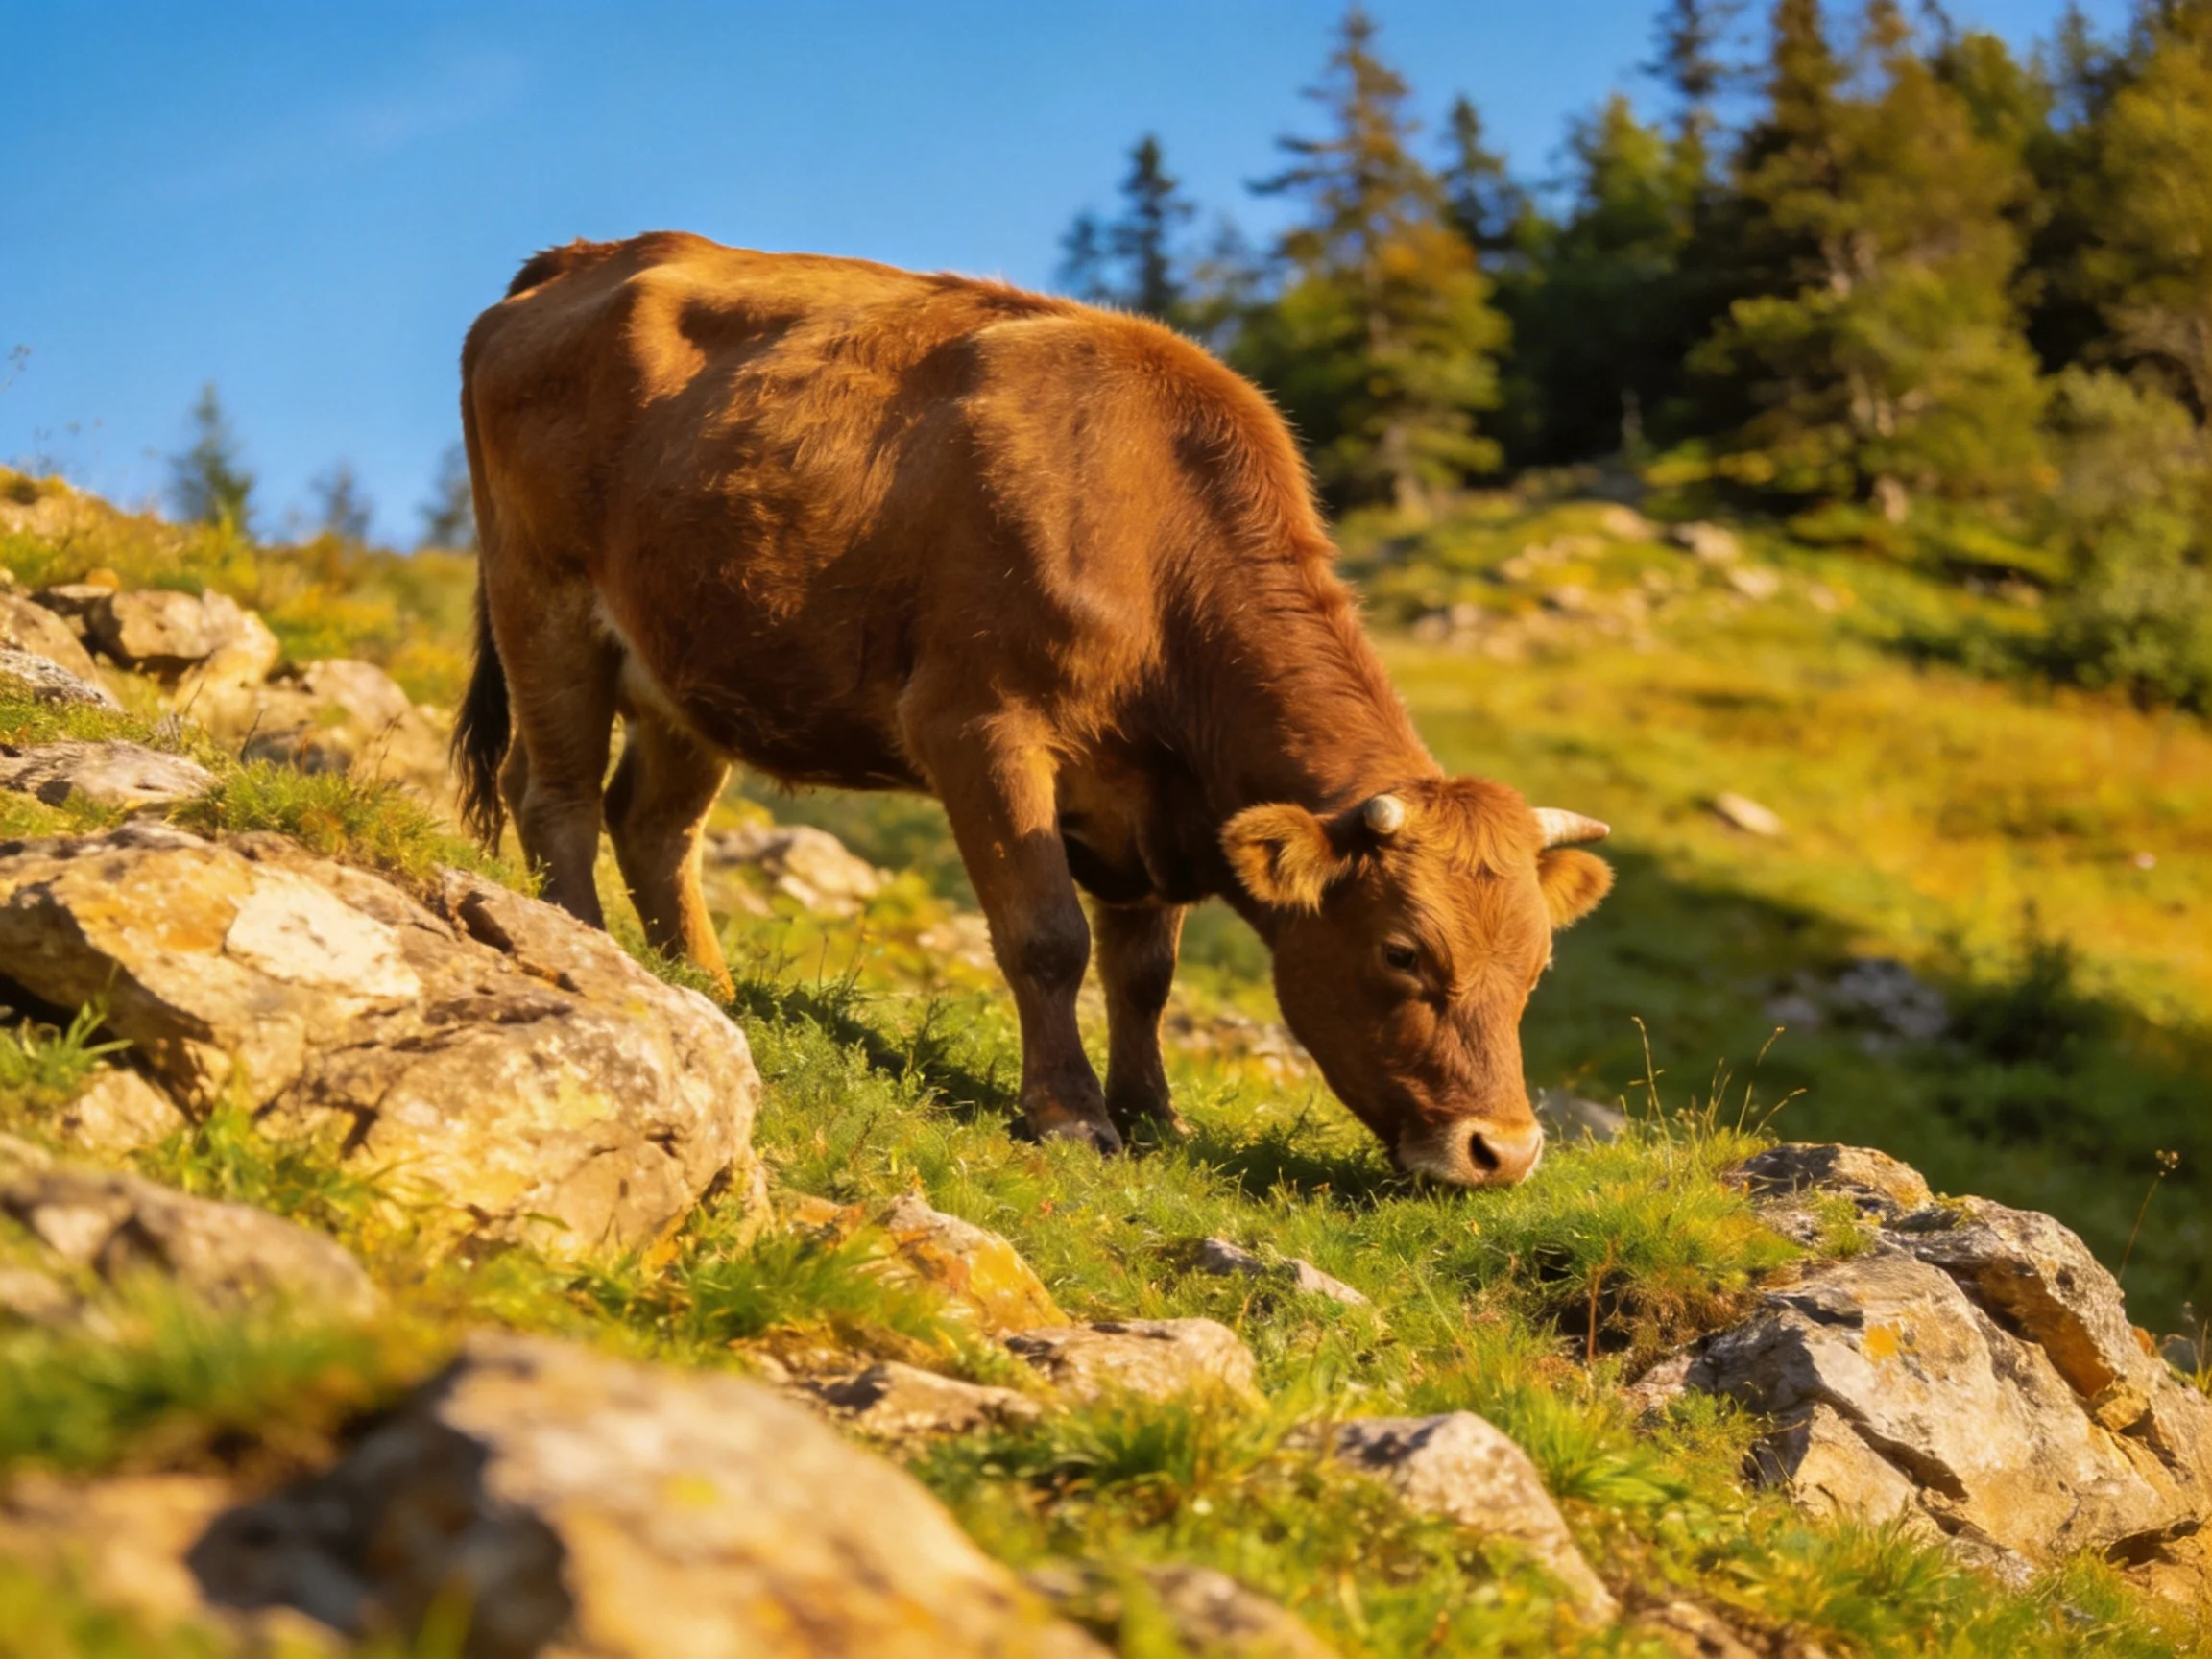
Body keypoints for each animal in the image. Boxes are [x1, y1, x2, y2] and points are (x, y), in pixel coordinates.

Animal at [454, 232, 1613, 1187]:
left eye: (1538, 967)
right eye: (1403, 954)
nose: (1502, 1151)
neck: (1157, 542)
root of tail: (591, 253)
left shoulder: (1153, 805)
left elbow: (1145, 973)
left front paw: (1155, 1114)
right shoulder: (979, 725)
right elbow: (1047, 936)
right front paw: (1071, 1117)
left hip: (689, 668)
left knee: (653, 825)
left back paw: (708, 985)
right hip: (542, 598)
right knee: (555, 796)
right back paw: (586, 948)